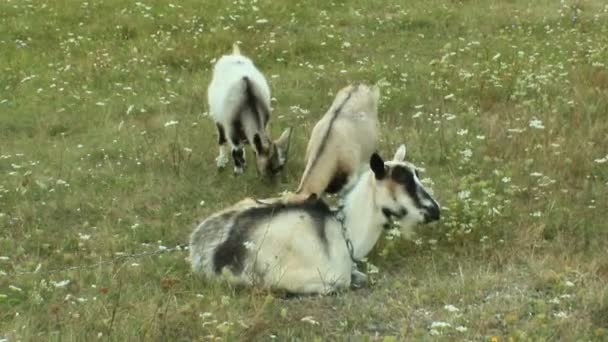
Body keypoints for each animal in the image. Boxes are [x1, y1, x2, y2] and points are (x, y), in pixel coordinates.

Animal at [209, 43, 292, 176]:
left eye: (280, 166)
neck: (249, 100)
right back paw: (222, 161)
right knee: (222, 138)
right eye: (269, 167)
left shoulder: (265, 124)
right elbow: (236, 150)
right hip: (217, 117)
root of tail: (235, 56)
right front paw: (238, 171)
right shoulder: (231, 129)